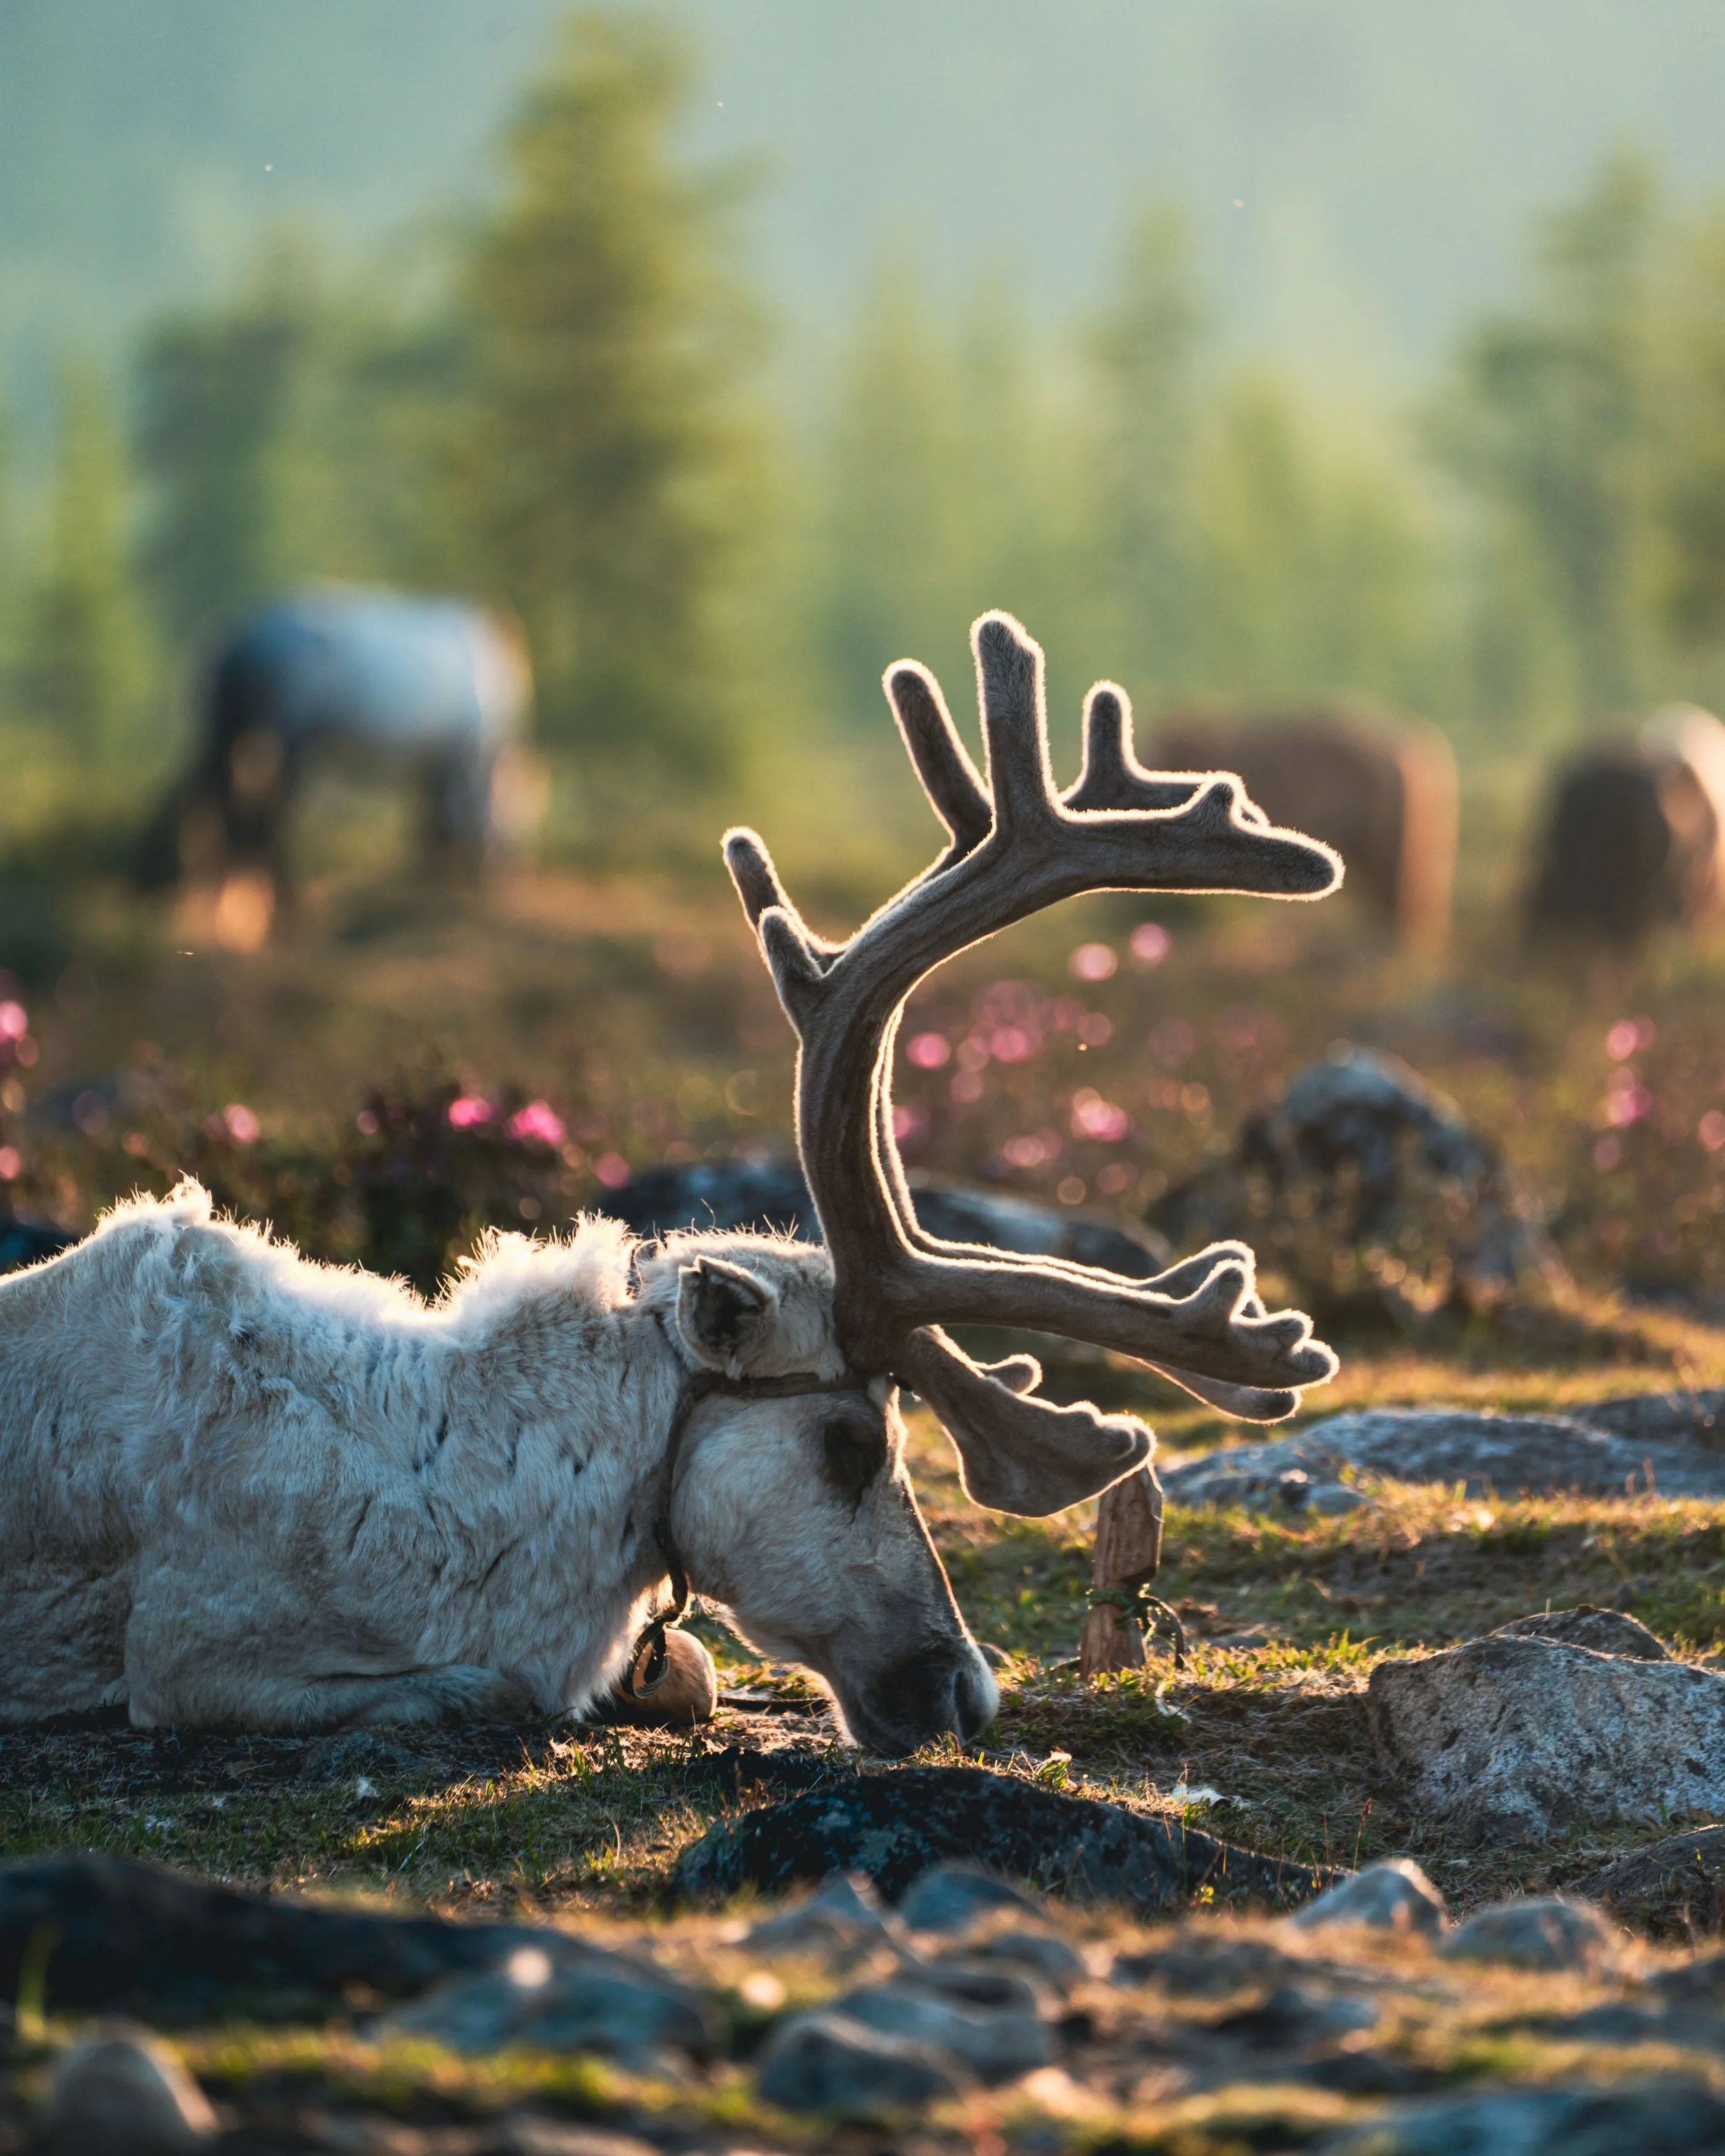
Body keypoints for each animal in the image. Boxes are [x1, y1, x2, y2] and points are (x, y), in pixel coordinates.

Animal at [0, 612, 1340, 1749]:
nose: (966, 1690)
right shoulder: (187, 1648)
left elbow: (679, 1663)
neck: (452, 1494)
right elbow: (482, 1685)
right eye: (853, 1441)